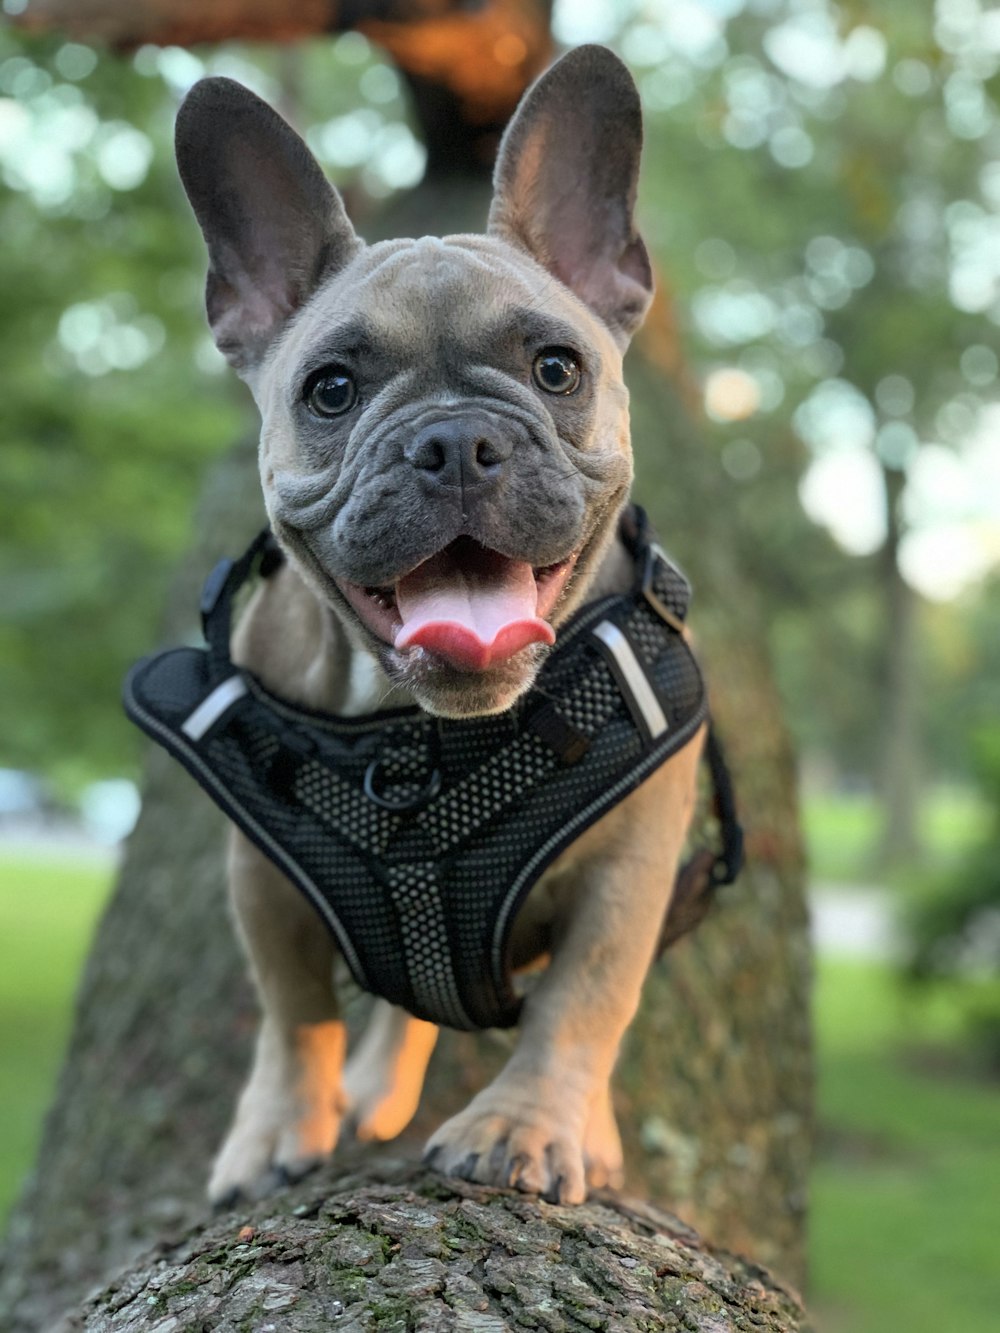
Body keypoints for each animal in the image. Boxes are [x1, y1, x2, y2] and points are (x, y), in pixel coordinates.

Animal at [172, 44, 704, 1210]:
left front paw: (524, 1125)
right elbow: (294, 1014)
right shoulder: (263, 879)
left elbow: (584, 1004)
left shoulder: (630, 873)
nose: (456, 439)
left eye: (557, 368)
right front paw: (276, 1130)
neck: (421, 727)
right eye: (330, 389)